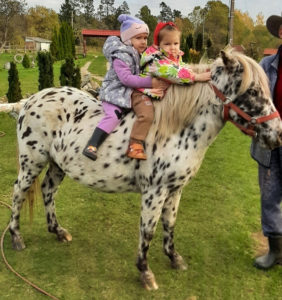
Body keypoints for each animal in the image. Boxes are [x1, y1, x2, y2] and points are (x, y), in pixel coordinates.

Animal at [9, 49, 282, 290]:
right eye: (253, 91)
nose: (277, 135)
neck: (176, 128)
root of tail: (30, 101)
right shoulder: (154, 192)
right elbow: (147, 230)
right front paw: (145, 273)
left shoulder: (175, 190)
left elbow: (169, 224)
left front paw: (174, 259)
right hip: (31, 161)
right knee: (18, 193)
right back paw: (16, 237)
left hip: (57, 164)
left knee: (48, 190)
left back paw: (58, 231)